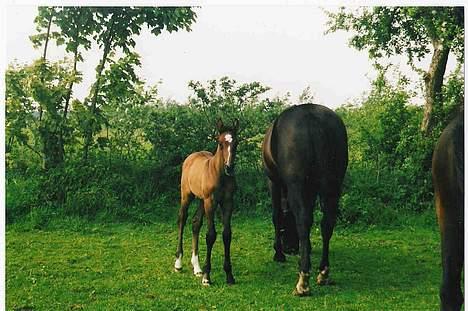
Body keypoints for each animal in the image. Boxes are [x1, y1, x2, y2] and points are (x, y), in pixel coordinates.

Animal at [176, 118, 241, 286]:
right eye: (220, 143)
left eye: (236, 142)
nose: (229, 168)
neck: (220, 176)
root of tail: (192, 156)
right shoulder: (211, 202)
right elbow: (211, 235)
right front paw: (207, 276)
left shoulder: (228, 202)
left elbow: (227, 234)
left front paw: (229, 275)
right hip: (187, 196)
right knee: (182, 220)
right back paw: (178, 263)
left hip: (201, 200)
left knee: (195, 223)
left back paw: (197, 267)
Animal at [262, 103, 350, 296]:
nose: (291, 248)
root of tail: (312, 117)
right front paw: (306, 249)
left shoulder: (273, 182)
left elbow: (276, 216)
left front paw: (278, 253)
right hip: (332, 185)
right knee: (327, 224)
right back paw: (323, 272)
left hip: (298, 185)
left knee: (303, 221)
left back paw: (303, 279)